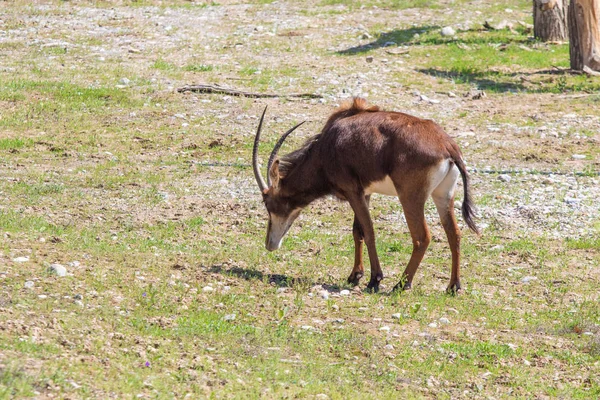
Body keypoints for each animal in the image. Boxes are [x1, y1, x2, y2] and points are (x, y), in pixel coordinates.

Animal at [252, 98, 478, 292]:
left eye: (270, 204)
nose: (270, 244)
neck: (327, 146)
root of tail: (447, 146)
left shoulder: (353, 191)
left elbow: (368, 231)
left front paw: (374, 279)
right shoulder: (365, 193)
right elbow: (357, 231)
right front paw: (355, 275)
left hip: (410, 197)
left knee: (422, 237)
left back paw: (401, 284)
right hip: (443, 195)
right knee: (454, 234)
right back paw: (453, 286)